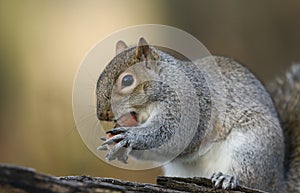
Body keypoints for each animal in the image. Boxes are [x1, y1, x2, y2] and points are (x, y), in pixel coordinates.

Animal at [96, 37, 300, 192]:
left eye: (127, 80)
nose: (101, 114)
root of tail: (279, 182)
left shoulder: (190, 108)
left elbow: (173, 136)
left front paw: (129, 137)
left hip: (252, 146)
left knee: (251, 178)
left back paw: (228, 178)